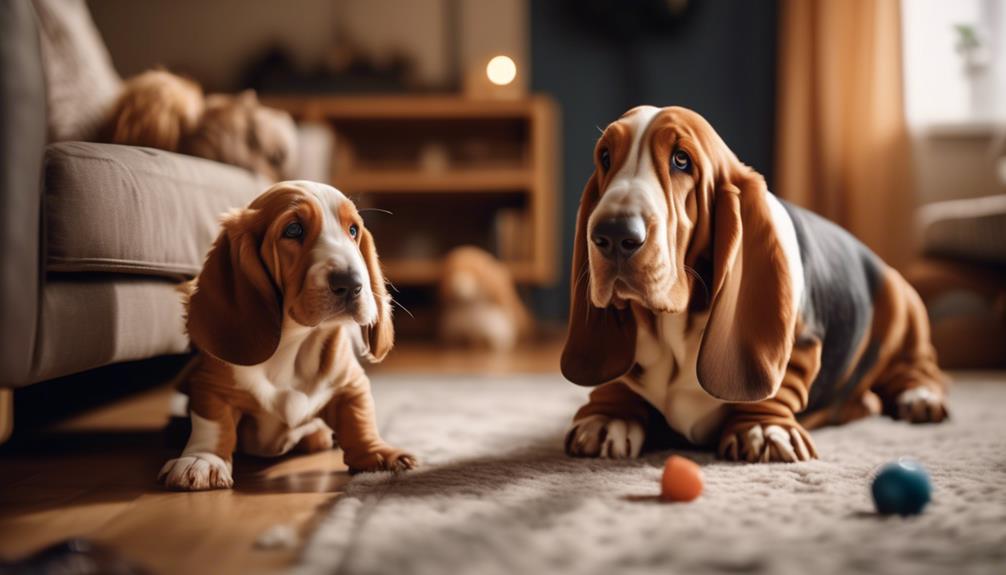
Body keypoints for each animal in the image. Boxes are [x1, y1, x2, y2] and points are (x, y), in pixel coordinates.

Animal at [162, 179, 414, 490]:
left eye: (353, 230)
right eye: (293, 230)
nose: (352, 283)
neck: (294, 344)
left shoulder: (351, 382)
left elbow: (359, 417)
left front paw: (379, 455)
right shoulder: (211, 386)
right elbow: (213, 424)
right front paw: (202, 460)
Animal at [563, 106, 945, 462]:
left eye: (681, 160)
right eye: (606, 157)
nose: (613, 233)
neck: (674, 325)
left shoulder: (802, 343)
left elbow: (781, 383)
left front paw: (763, 428)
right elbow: (618, 379)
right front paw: (607, 416)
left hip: (904, 307)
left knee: (920, 366)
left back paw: (920, 397)